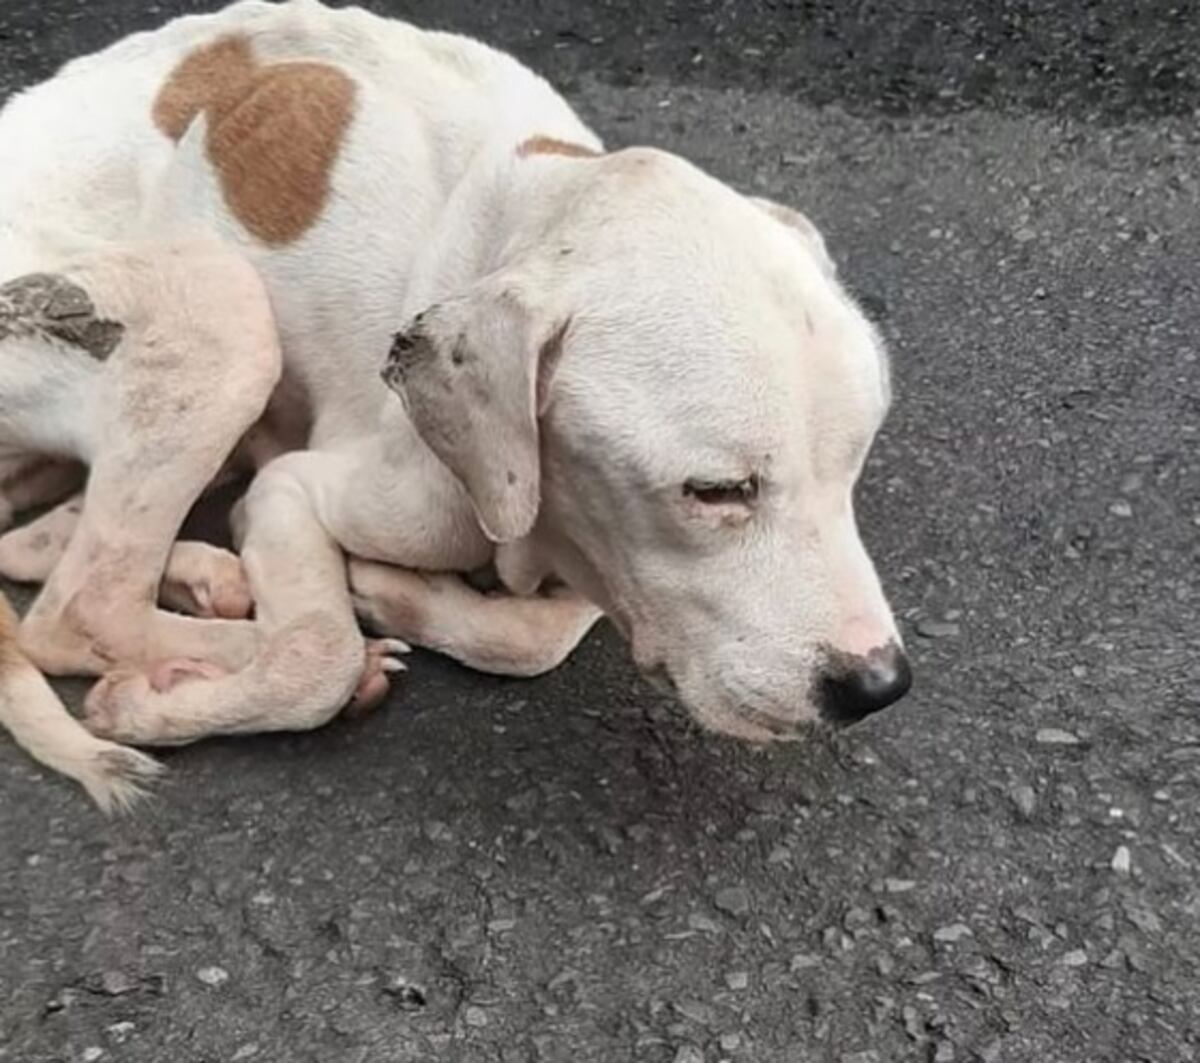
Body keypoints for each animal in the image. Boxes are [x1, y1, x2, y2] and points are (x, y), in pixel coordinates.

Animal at [0, 0, 907, 811]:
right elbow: (317, 652)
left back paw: (204, 576)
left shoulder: (601, 547)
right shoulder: (301, 490)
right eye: (716, 492)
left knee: (33, 547)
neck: (536, 212)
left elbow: (539, 633)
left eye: (853, 473)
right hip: (218, 310)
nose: (877, 686)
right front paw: (171, 699)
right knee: (80, 610)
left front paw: (405, 596)